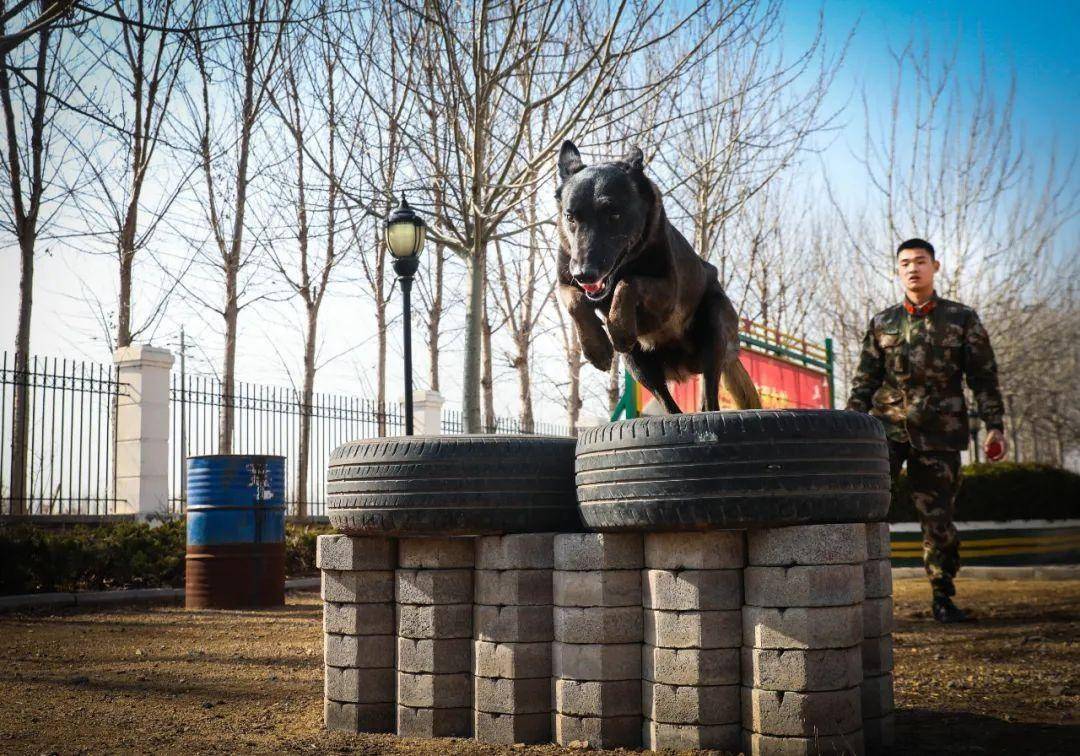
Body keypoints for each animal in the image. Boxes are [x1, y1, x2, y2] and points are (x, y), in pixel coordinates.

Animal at [557, 141, 760, 412]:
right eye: (570, 217)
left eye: (614, 215)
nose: (584, 274)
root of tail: (684, 369)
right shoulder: (564, 283)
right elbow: (576, 302)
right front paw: (596, 346)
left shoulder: (668, 294)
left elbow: (629, 282)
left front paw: (618, 326)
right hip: (637, 365)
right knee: (670, 406)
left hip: (714, 326)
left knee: (710, 398)